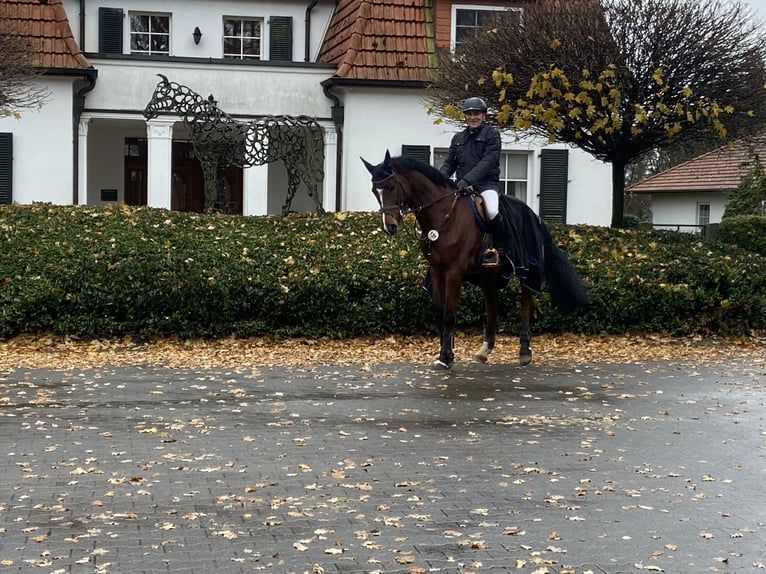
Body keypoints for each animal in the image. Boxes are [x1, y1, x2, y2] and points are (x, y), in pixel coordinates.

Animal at [364, 151, 592, 372]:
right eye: (375, 191)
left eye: (392, 186)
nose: (389, 227)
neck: (444, 216)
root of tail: (533, 214)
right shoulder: (437, 270)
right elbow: (439, 312)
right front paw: (446, 353)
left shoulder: (454, 273)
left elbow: (449, 314)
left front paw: (445, 358)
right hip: (487, 275)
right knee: (493, 305)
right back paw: (485, 349)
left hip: (526, 270)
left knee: (525, 303)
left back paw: (524, 352)